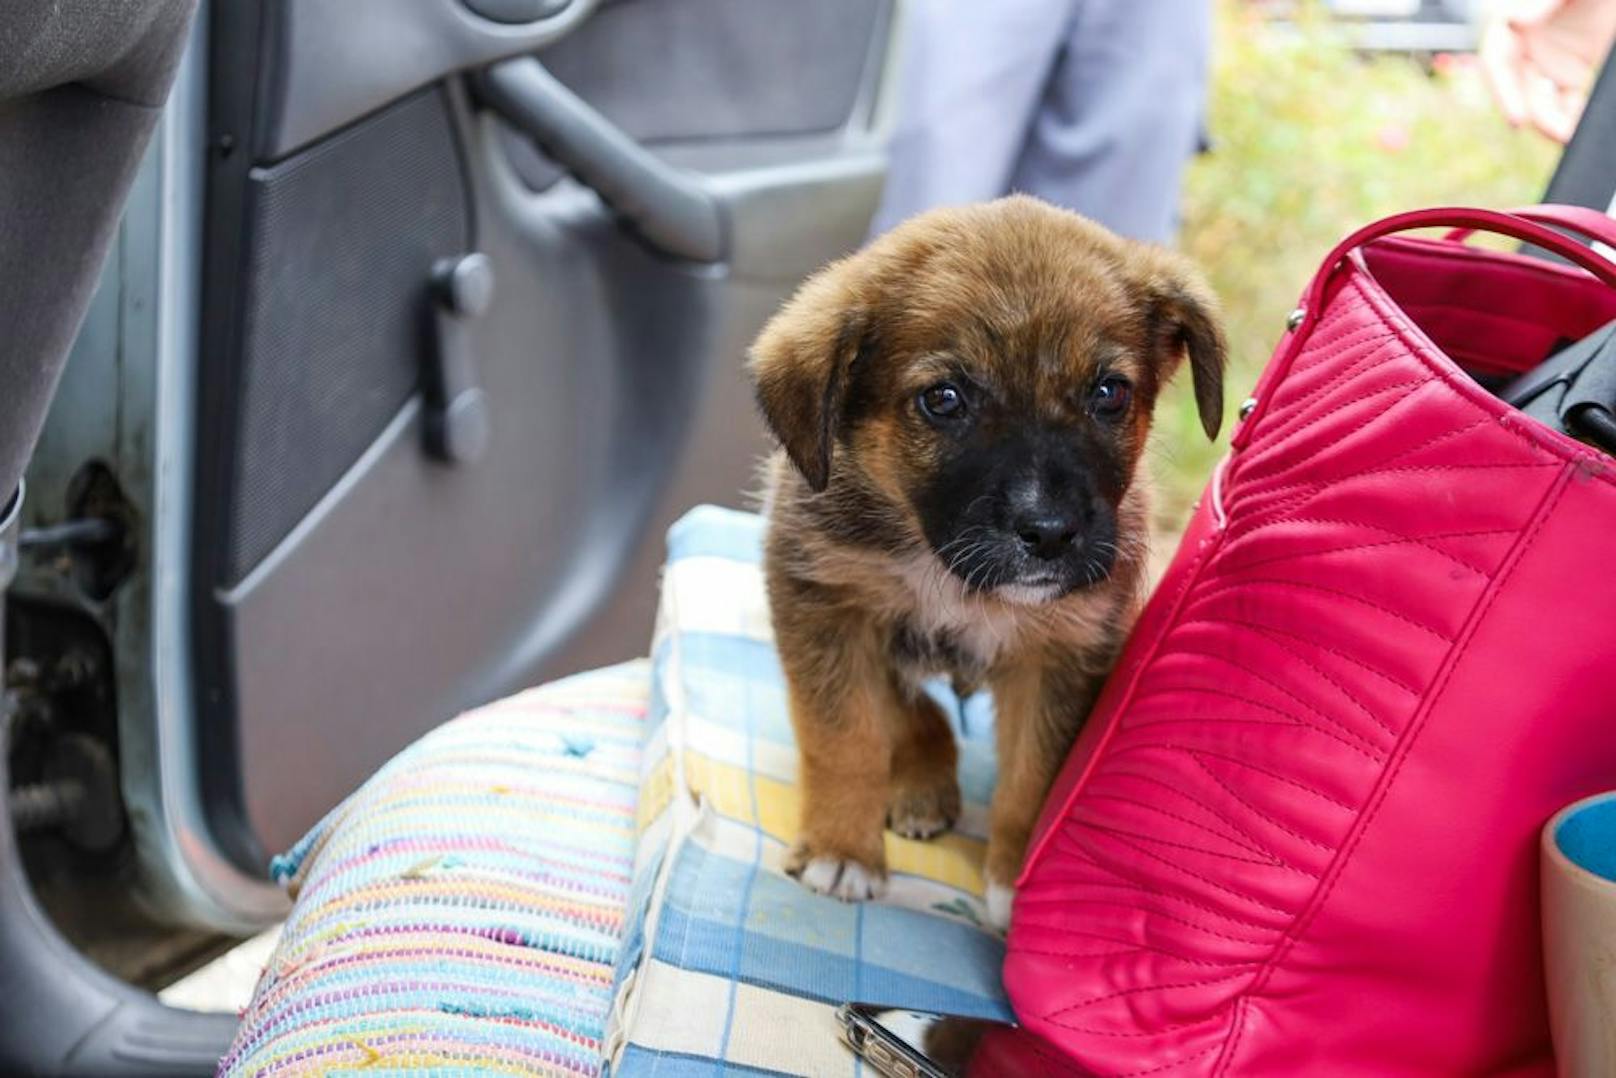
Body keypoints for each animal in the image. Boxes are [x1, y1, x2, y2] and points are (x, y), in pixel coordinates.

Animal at [743, 191, 1221, 930]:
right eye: (944, 400)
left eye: (1108, 392)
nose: (1050, 535)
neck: (945, 570)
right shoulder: (825, 603)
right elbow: (845, 737)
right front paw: (841, 849)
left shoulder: (1063, 652)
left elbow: (1033, 778)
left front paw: (1012, 882)